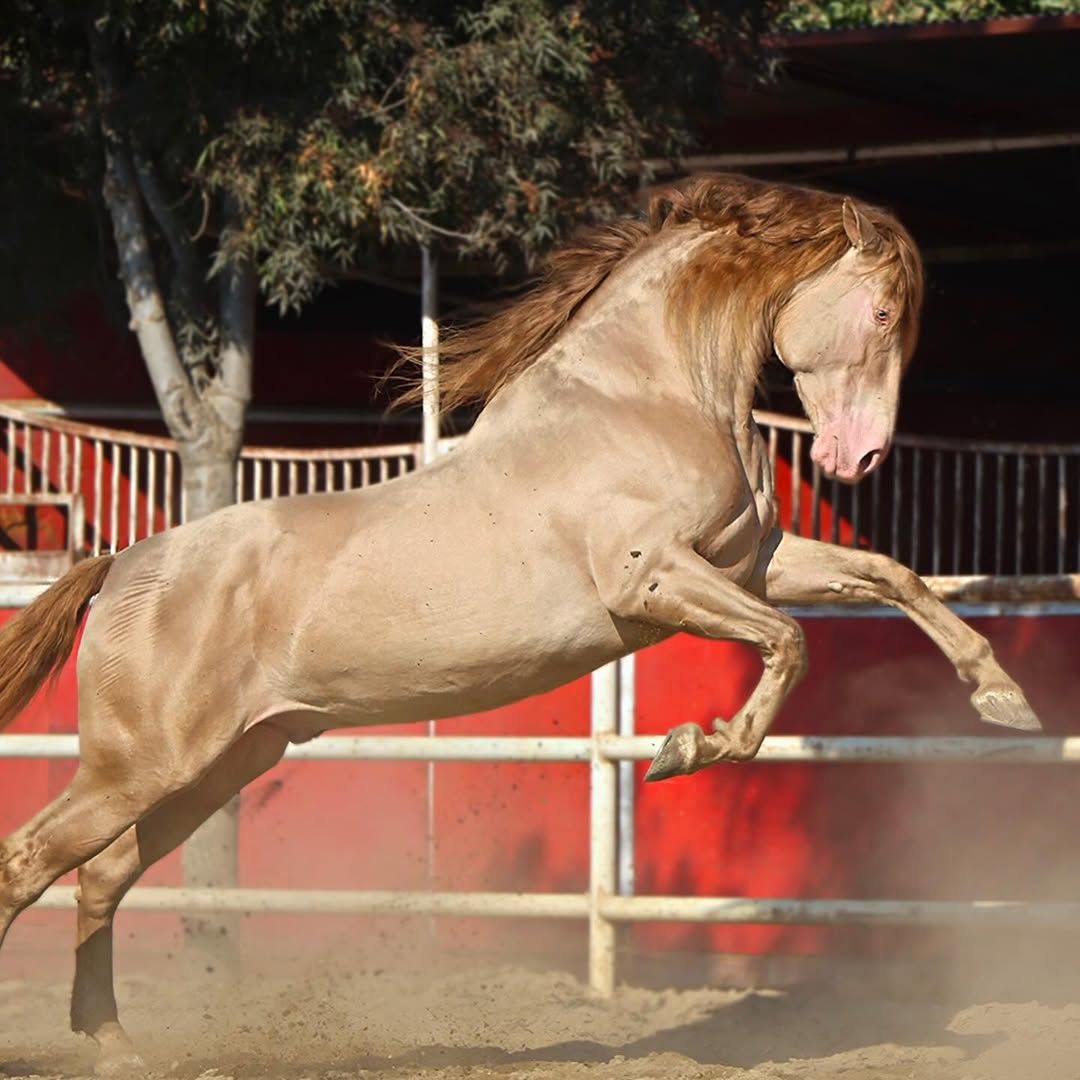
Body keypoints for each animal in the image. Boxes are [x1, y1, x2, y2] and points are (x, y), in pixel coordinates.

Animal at [0, 174, 1038, 1070]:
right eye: (883, 314)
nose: (858, 459)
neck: (647, 395)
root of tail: (122, 567)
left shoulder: (753, 565)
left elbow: (889, 579)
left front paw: (1003, 697)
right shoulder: (655, 582)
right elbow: (792, 644)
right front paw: (686, 748)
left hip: (217, 766)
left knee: (99, 876)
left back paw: (115, 1045)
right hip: (140, 768)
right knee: (27, 864)